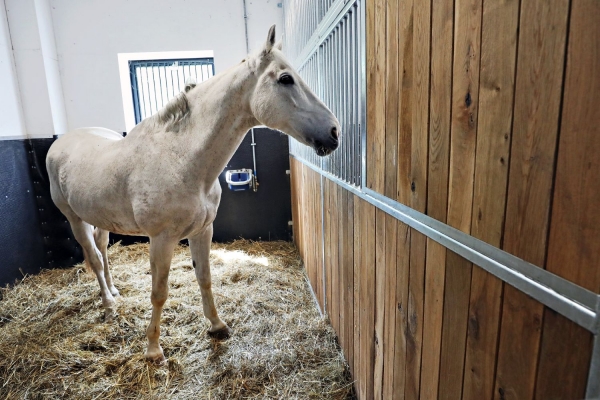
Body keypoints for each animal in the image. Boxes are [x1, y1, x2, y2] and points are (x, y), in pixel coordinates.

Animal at [45, 25, 340, 362]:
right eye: (286, 78)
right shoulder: (161, 240)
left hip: (100, 217)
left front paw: (217, 325)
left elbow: (205, 278)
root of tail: (60, 142)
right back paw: (108, 306)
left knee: (102, 249)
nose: (334, 132)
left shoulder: (202, 230)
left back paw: (114, 291)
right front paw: (153, 349)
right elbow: (159, 292)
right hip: (74, 218)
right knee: (93, 257)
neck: (183, 160)